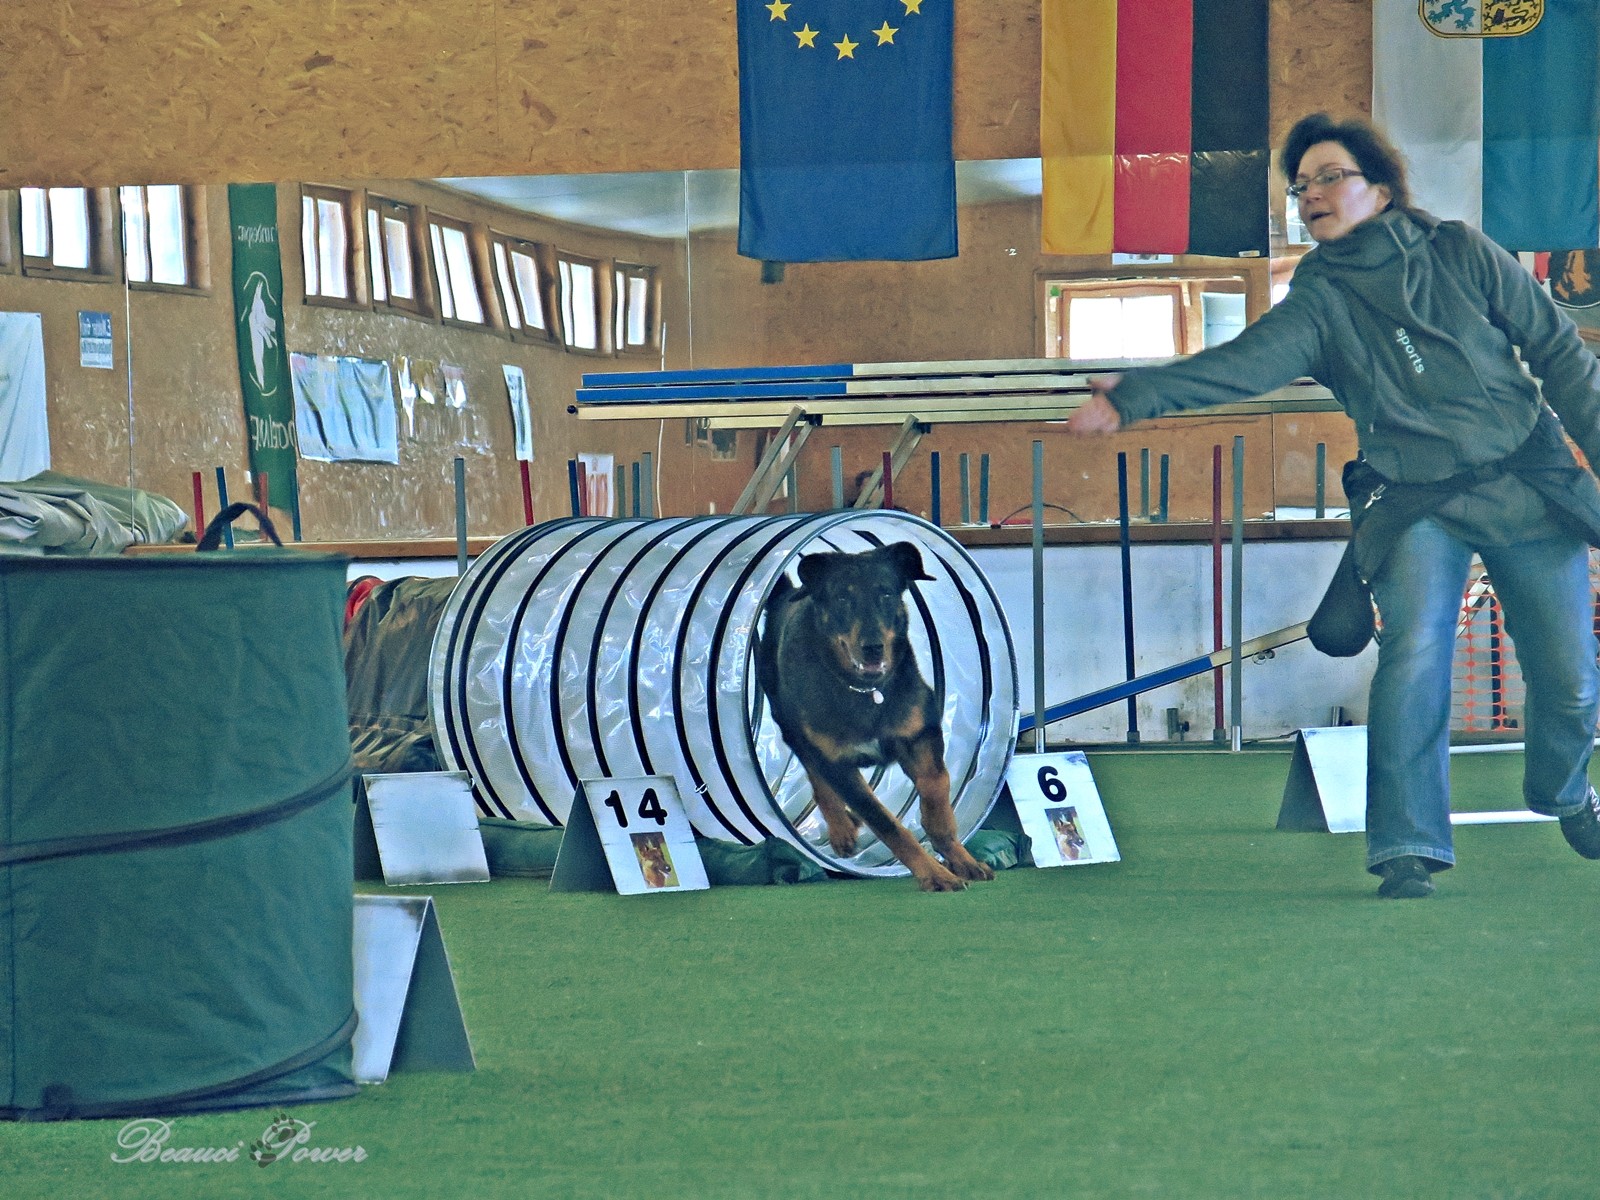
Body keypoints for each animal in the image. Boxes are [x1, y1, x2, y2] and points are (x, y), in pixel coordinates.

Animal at [756, 542, 994, 892]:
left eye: (886, 594)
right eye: (843, 598)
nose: (873, 647)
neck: (865, 691)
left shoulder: (920, 733)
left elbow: (937, 784)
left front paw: (958, 855)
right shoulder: (837, 763)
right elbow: (887, 823)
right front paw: (934, 874)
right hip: (790, 725)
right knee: (816, 776)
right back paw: (841, 828)